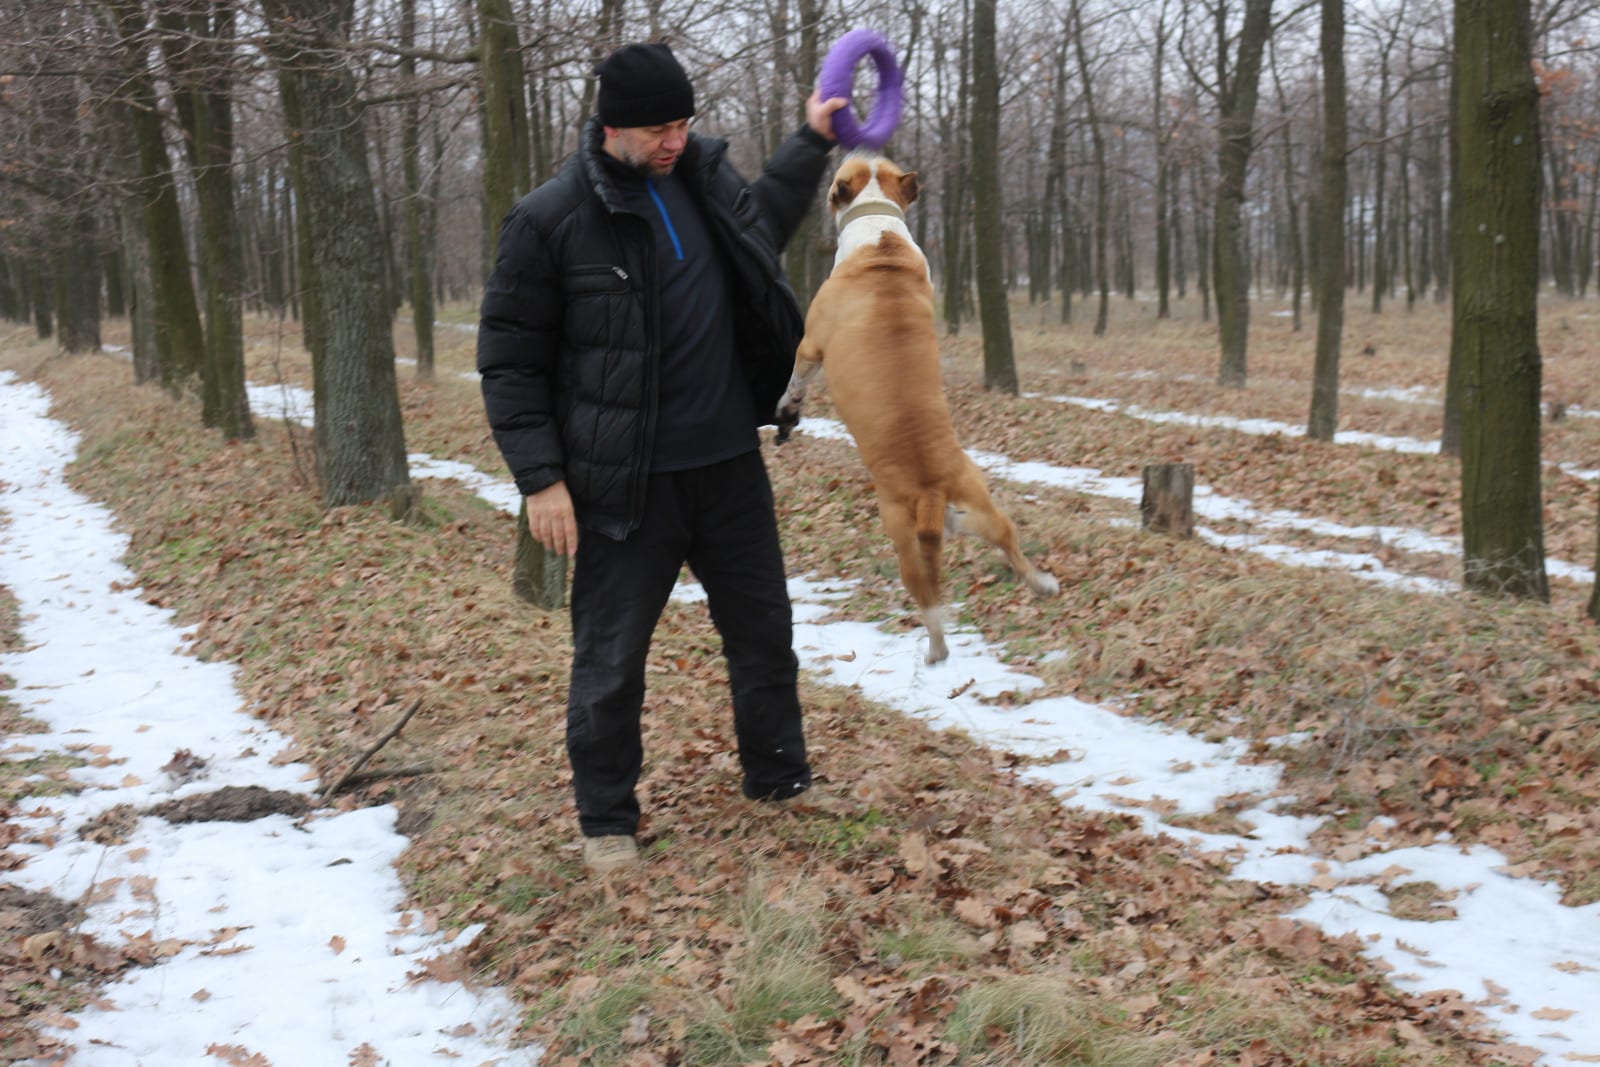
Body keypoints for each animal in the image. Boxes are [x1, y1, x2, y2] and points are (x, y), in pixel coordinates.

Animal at [777, 154, 1062, 662]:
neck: (880, 234)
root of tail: (932, 492)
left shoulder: (810, 348)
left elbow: (795, 380)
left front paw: (787, 407)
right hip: (981, 511)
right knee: (1010, 547)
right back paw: (1042, 584)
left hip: (902, 535)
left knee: (927, 599)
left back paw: (935, 648)